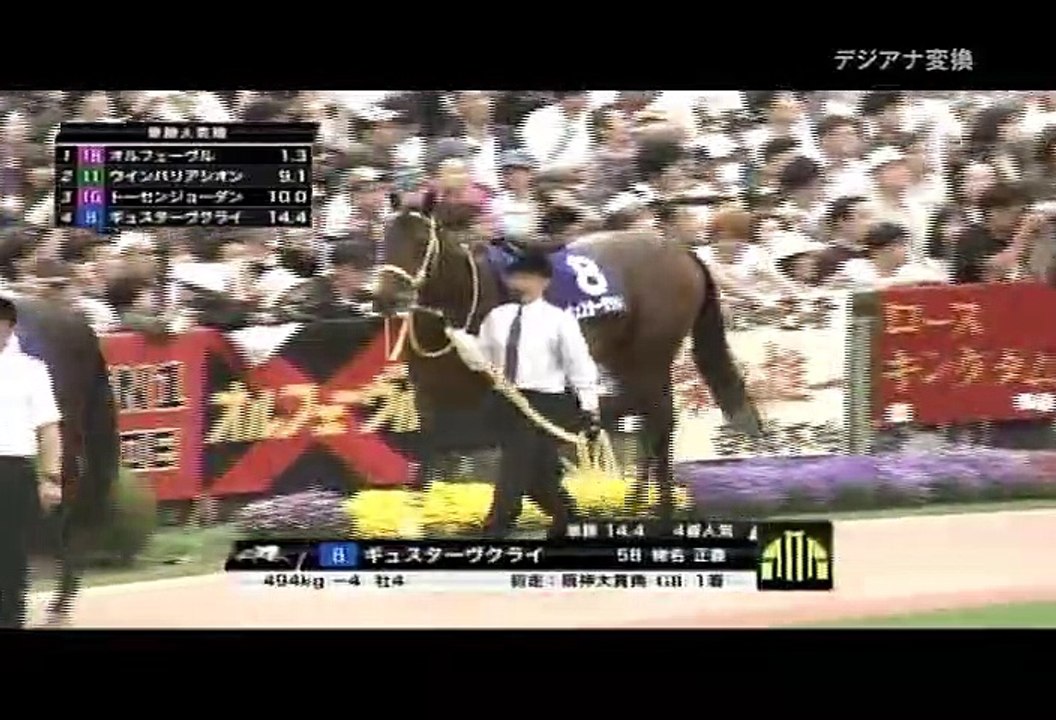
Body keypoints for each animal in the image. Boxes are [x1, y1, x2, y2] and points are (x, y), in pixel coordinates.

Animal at [374, 194, 763, 525]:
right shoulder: (432, 405)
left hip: (650, 356)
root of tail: (683, 251)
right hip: (626, 361)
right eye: (384, 240)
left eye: (420, 242)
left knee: (659, 423)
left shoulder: (505, 406)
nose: (386, 298)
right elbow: (426, 469)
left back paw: (656, 508)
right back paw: (637, 503)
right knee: (647, 420)